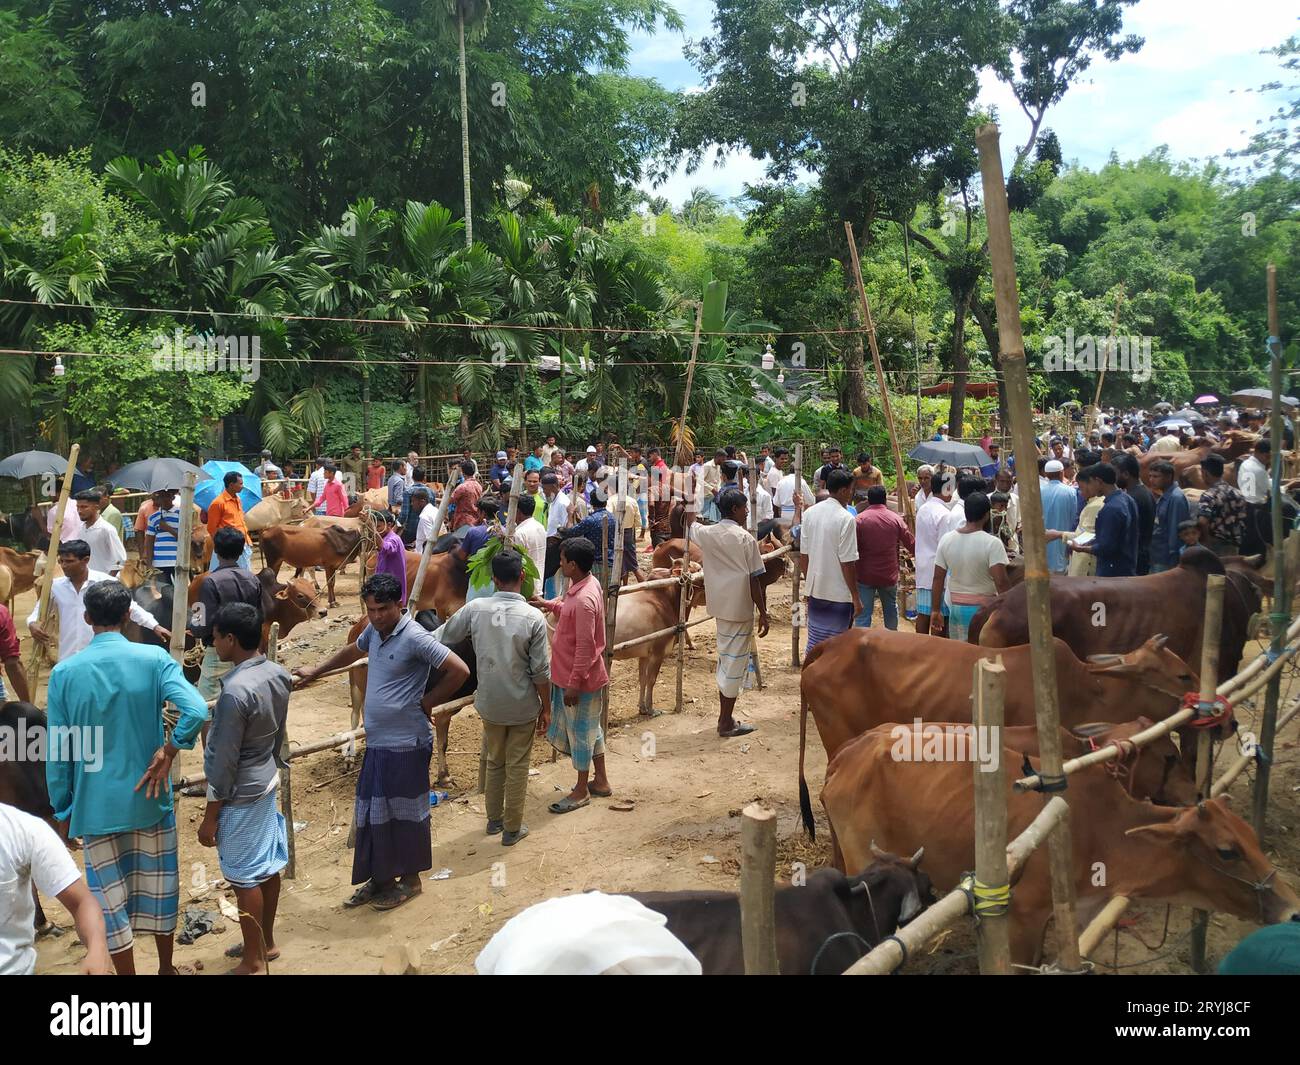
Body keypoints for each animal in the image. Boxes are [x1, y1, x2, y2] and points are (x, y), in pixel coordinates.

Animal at [821, 728, 1300, 972]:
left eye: (1252, 837)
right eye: (1227, 851)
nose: (1293, 911)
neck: (1101, 828)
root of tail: (850, 751)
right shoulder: (1023, 917)